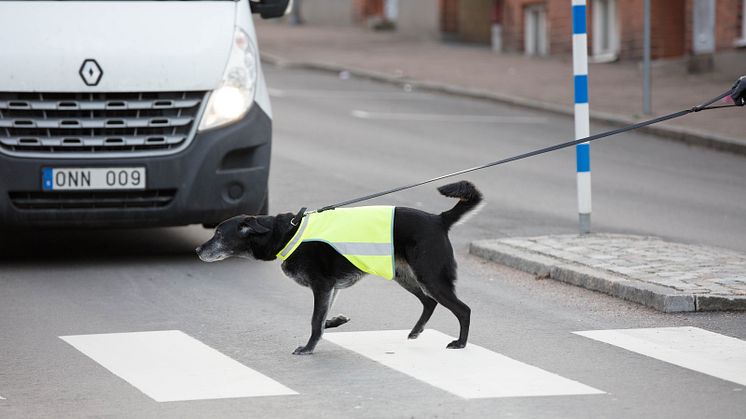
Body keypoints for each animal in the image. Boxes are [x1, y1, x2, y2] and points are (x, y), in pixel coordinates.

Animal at [195, 182, 480, 356]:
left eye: (219, 234)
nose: (197, 250)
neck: (287, 233)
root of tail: (439, 220)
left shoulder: (322, 286)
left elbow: (315, 320)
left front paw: (309, 347)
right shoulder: (331, 288)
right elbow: (322, 320)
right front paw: (335, 322)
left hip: (430, 277)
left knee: (463, 310)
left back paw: (460, 343)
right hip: (406, 277)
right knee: (429, 303)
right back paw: (416, 331)